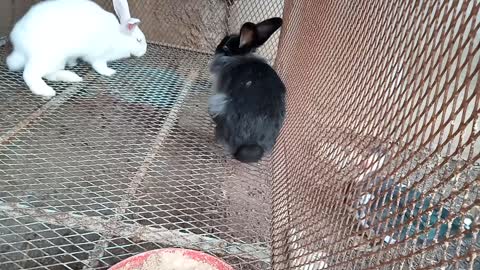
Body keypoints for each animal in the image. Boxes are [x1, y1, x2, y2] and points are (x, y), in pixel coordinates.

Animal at [6, 0, 146, 97]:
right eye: (139, 40)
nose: (144, 52)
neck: (118, 36)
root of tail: (19, 47)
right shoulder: (98, 57)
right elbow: (99, 66)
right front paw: (109, 72)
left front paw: (73, 63)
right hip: (48, 58)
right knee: (30, 74)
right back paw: (46, 90)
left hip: (57, 61)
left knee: (49, 74)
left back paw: (72, 77)